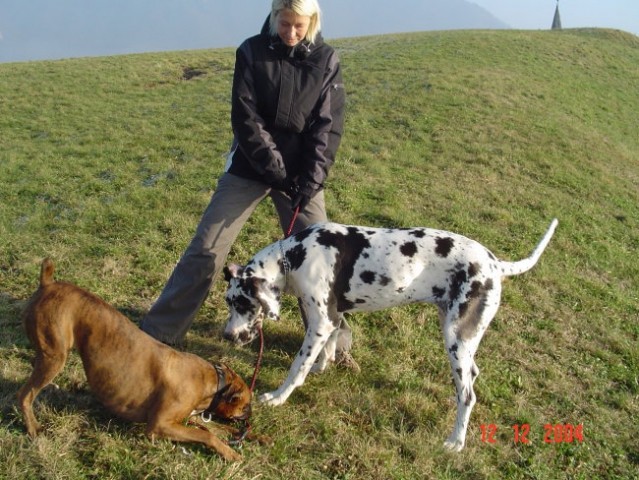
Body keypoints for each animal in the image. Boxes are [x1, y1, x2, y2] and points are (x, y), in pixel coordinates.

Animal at [17, 258, 252, 462]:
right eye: (245, 405)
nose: (250, 415)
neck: (215, 380)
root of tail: (48, 284)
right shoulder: (159, 425)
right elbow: (207, 434)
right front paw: (231, 453)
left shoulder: (186, 418)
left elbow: (219, 428)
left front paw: (249, 436)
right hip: (54, 357)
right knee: (25, 394)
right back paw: (33, 428)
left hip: (49, 354)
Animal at [222, 219, 556, 452]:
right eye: (228, 301)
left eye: (242, 304)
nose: (227, 336)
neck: (296, 255)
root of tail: (495, 264)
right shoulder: (332, 319)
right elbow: (327, 348)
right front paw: (322, 366)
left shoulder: (320, 322)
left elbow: (297, 367)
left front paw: (278, 397)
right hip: (460, 337)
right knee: (471, 377)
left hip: (456, 340)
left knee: (468, 394)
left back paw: (455, 442)